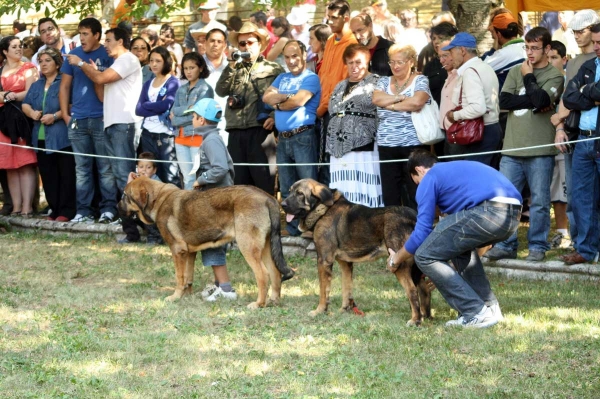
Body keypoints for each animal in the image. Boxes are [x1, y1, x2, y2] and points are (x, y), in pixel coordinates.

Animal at [282, 180, 432, 326]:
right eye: (290, 191)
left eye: (300, 194)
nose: (282, 205)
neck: (323, 209)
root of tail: (413, 215)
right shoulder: (346, 264)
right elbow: (346, 288)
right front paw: (345, 310)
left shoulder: (324, 261)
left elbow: (323, 291)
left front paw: (320, 311)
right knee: (424, 288)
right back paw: (425, 316)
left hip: (398, 263)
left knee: (412, 290)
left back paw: (415, 320)